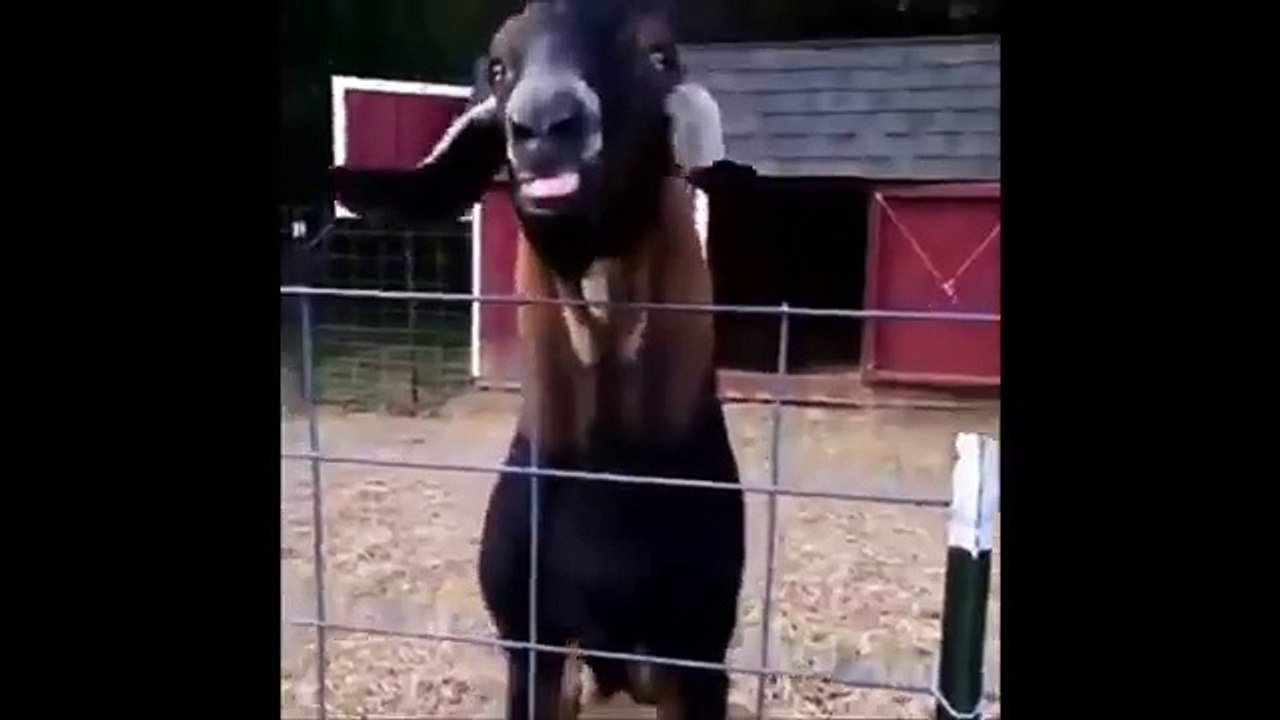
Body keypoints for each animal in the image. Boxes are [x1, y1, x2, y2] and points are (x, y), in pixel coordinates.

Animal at [332, 2, 755, 717]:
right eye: (500, 67)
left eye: (659, 56)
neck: (609, 467)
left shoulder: (699, 652)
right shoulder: (531, 644)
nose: (544, 124)